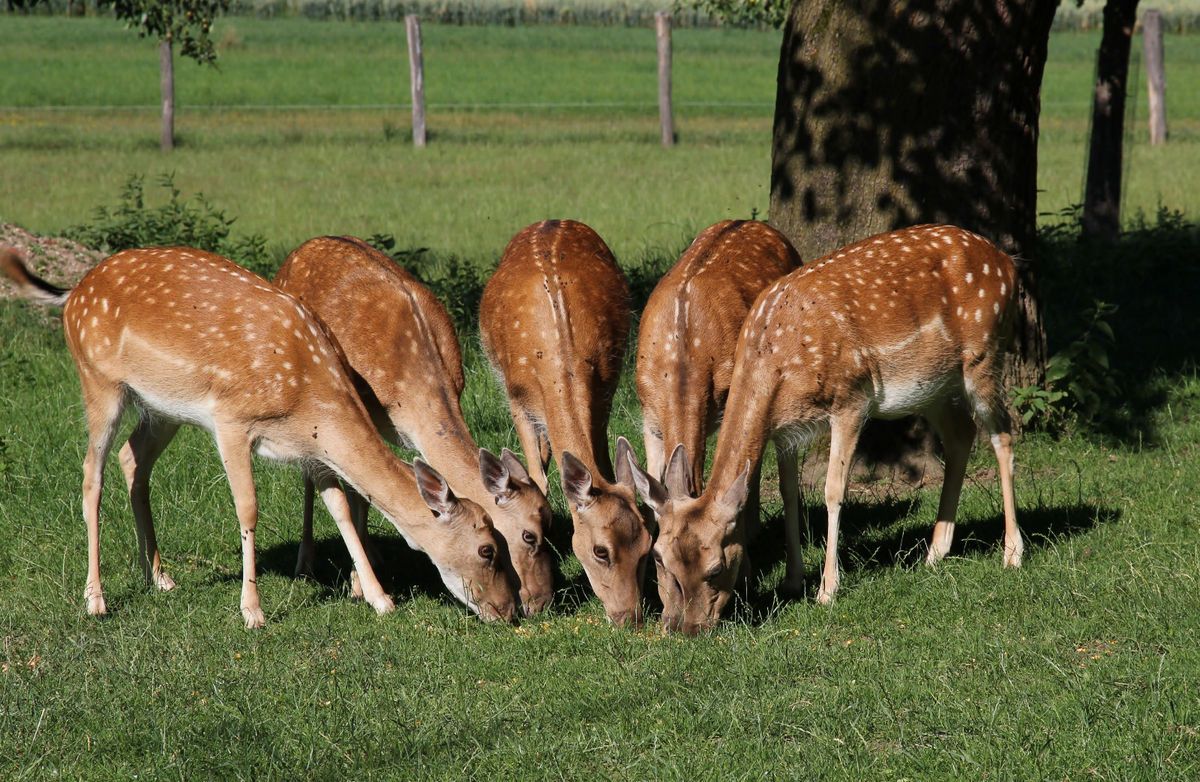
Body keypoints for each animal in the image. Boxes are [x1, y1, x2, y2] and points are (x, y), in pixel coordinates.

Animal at [0, 247, 518, 628]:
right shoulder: (231, 421)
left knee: (133, 458)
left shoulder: (313, 448)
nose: (509, 611)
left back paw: (161, 578)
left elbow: (341, 510)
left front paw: (379, 599)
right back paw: (96, 599)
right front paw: (252, 611)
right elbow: (248, 508)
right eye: (488, 549)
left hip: (162, 407)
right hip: (98, 382)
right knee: (91, 472)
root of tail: (74, 291)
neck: (308, 398)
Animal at [274, 238, 554, 618]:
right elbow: (358, 492)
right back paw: (305, 564)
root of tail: (295, 253)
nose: (543, 601)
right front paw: (359, 585)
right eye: (529, 535)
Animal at [477, 221, 652, 628]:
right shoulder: (516, 394)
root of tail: (551, 221)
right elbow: (537, 480)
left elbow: (602, 466)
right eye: (601, 551)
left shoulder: (604, 389)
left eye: (648, 545)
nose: (629, 616)